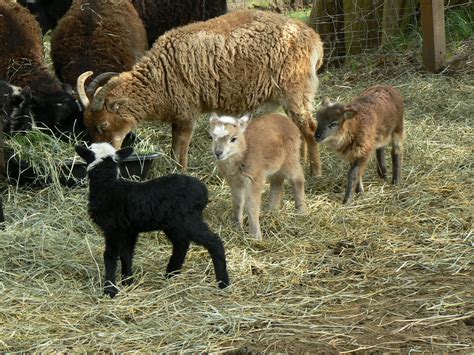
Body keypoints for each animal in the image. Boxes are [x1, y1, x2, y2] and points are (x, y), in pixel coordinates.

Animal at [75, 143, 231, 298]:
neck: (107, 186)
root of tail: (203, 191)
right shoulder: (129, 230)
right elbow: (126, 254)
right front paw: (128, 281)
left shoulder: (112, 228)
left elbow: (110, 256)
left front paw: (110, 290)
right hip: (174, 224)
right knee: (181, 244)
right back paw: (171, 274)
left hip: (188, 220)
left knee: (214, 242)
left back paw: (223, 283)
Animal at [77, 10, 326, 177]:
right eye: (88, 126)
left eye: (103, 125)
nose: (99, 158)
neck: (160, 76)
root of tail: (314, 39)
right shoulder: (177, 114)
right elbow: (174, 145)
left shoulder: (187, 111)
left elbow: (182, 146)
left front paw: (182, 171)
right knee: (299, 129)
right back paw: (299, 163)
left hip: (296, 92)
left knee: (310, 128)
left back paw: (315, 172)